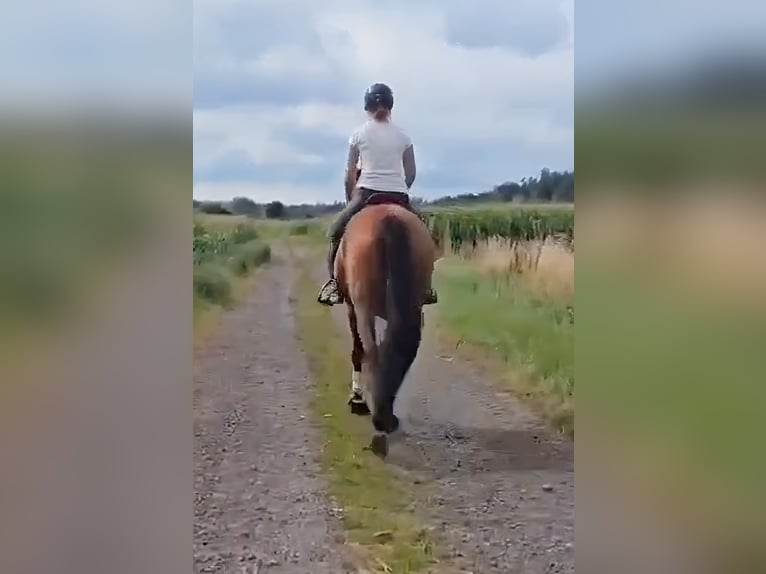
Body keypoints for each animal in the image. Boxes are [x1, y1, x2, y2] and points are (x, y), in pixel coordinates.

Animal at [334, 191, 437, 457]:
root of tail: (389, 221)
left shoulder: (351, 307)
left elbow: (358, 351)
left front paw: (357, 398)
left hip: (362, 306)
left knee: (369, 351)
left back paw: (370, 412)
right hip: (412, 302)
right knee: (400, 348)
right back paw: (385, 418)